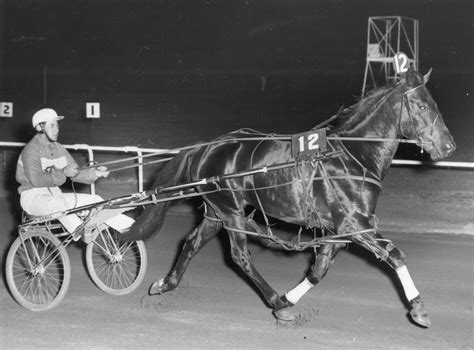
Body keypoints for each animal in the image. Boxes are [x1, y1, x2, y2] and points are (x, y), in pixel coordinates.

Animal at [126, 67, 456, 326]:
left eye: (433, 104)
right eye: (421, 106)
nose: (449, 146)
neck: (352, 156)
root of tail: (207, 146)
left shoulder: (341, 228)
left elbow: (319, 269)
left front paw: (290, 299)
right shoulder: (354, 223)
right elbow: (396, 255)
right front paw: (418, 307)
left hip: (217, 211)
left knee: (193, 242)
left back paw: (167, 283)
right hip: (230, 211)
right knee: (240, 256)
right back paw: (272, 297)